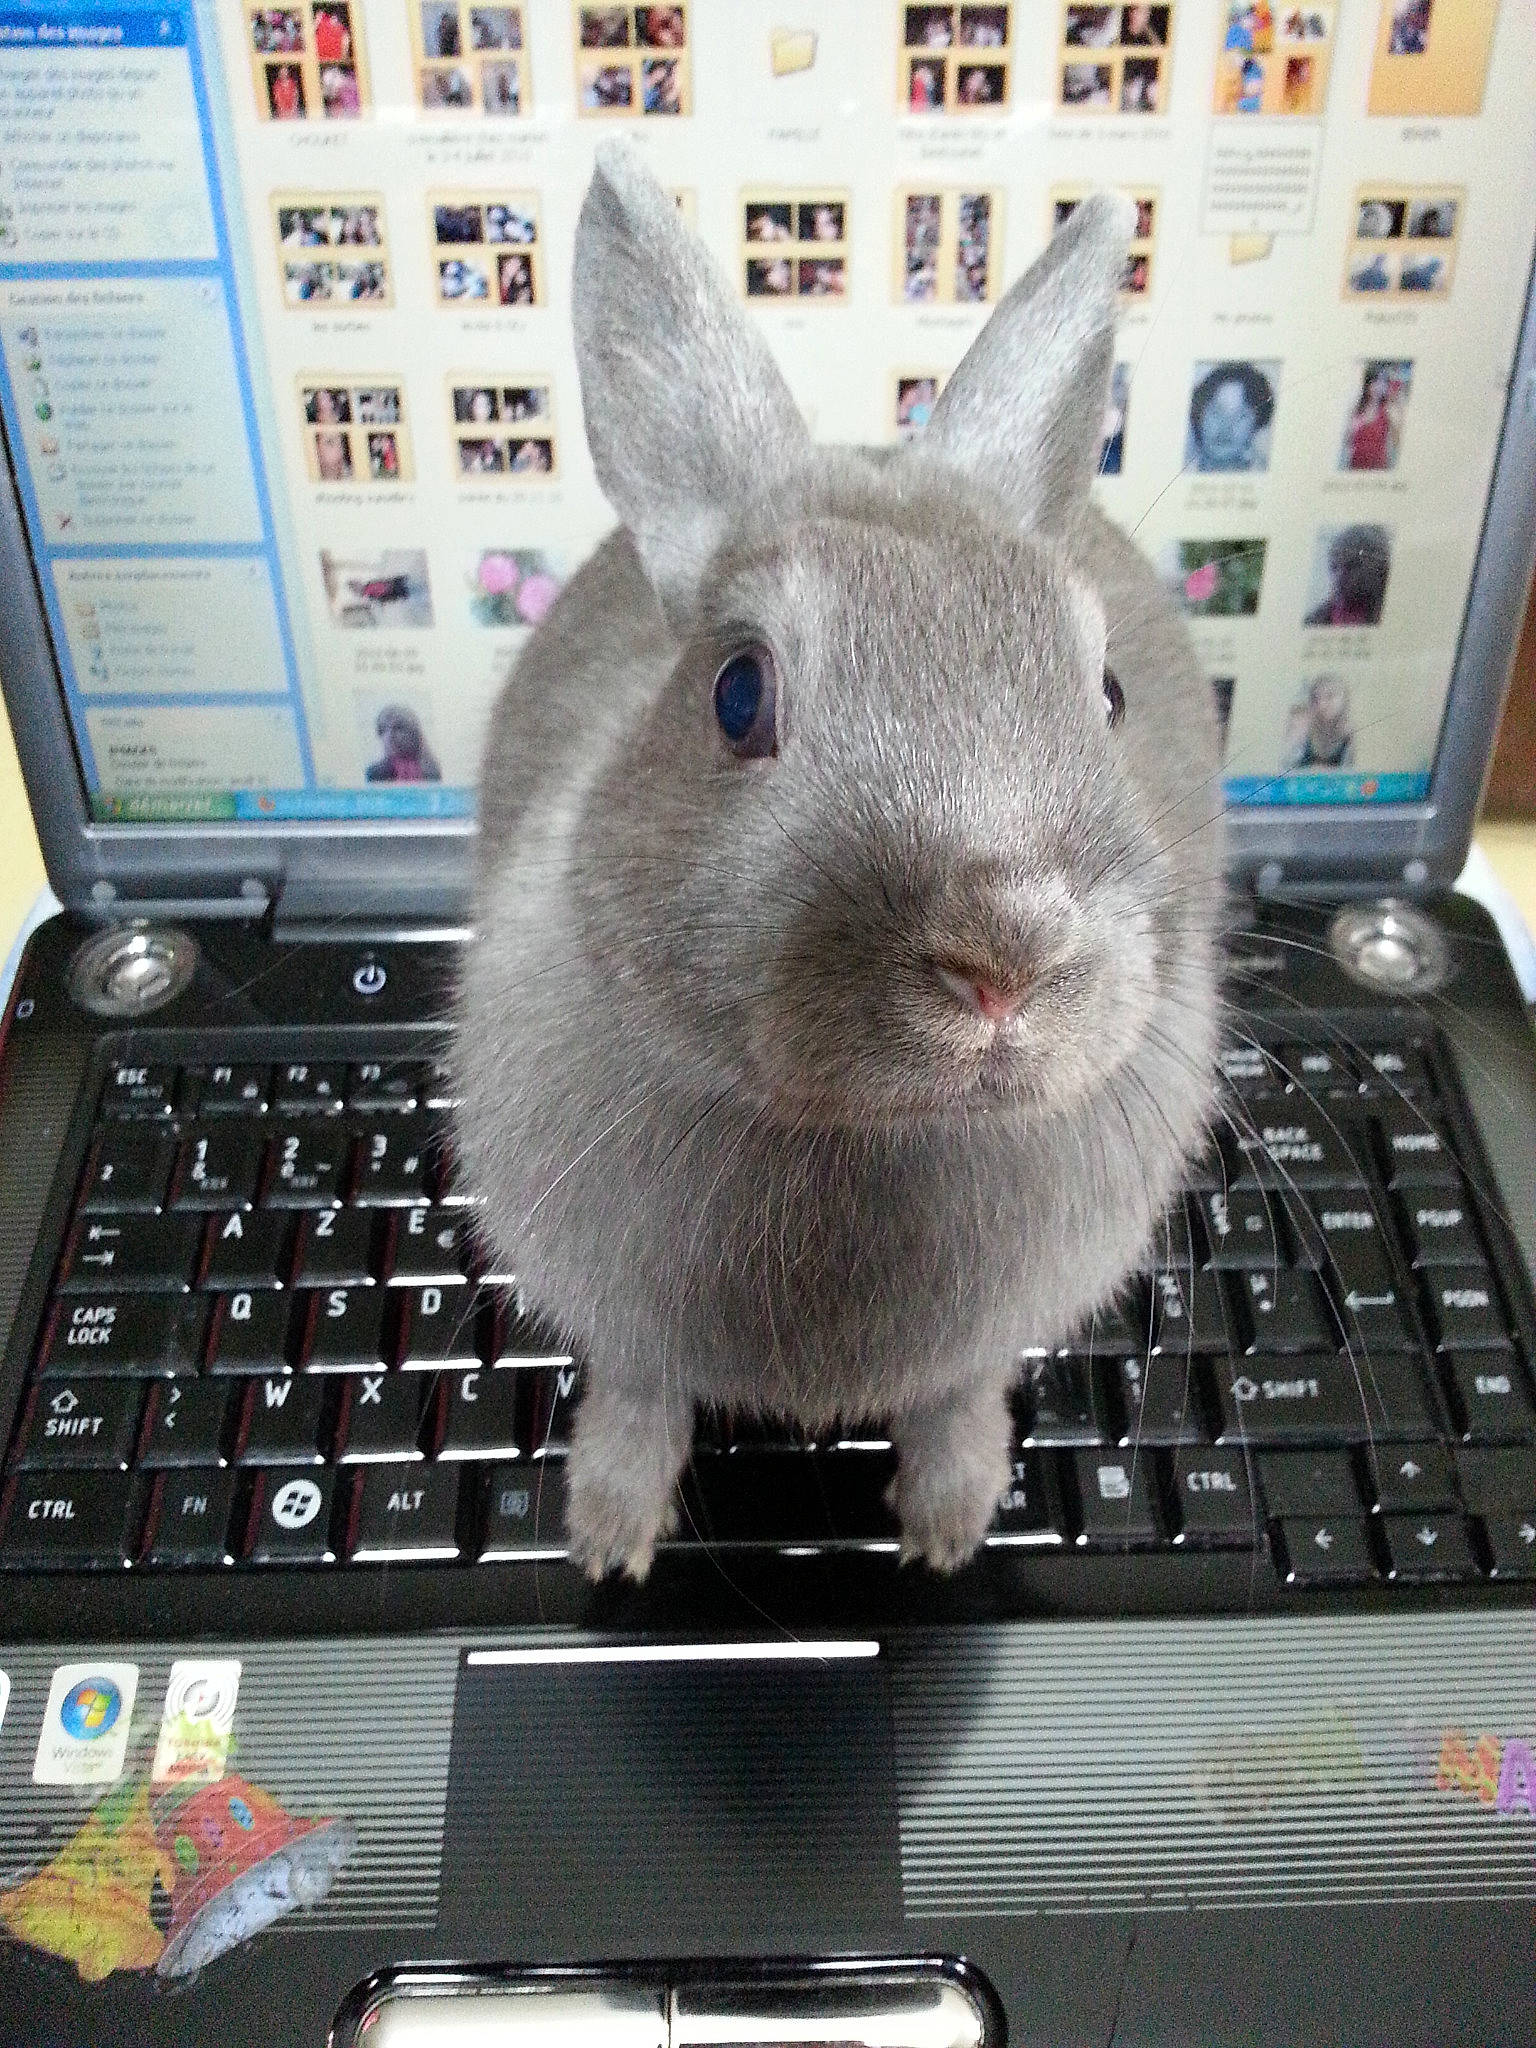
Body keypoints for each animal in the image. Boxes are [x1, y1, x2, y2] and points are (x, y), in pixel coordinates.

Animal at [454, 144, 1224, 1582]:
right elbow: (638, 1393)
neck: (875, 1143)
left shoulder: (979, 1345)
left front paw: (948, 1530)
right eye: (737, 693)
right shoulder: (623, 1318)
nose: (1004, 953)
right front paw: (607, 1537)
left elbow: (959, 1396)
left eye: (1106, 694)